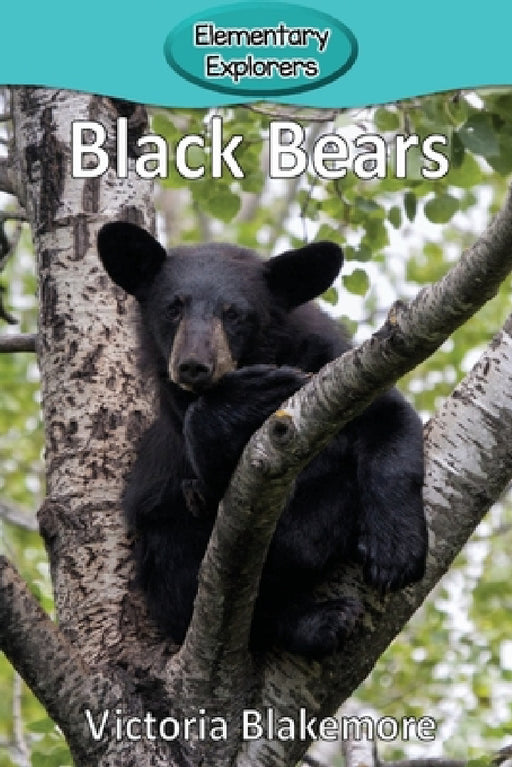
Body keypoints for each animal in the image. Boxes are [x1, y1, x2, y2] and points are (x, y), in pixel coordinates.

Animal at [97, 221, 427, 659]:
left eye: (234, 313)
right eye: (173, 307)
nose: (194, 366)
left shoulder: (337, 369)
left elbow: (390, 420)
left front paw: (395, 552)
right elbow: (215, 480)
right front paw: (248, 395)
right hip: (159, 539)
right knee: (186, 587)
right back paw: (321, 620)